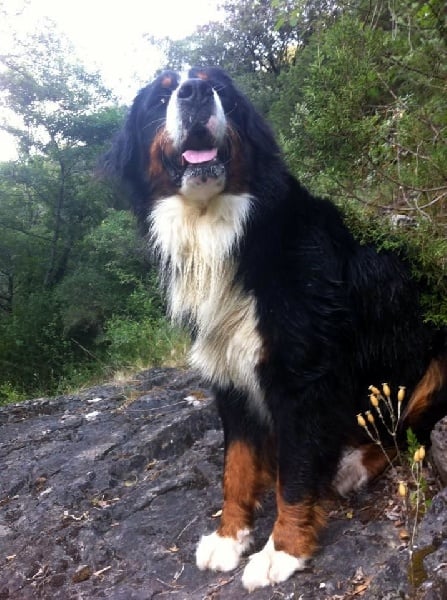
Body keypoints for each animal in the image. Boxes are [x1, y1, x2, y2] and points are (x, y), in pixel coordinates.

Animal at [105, 67, 447, 592]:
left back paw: (351, 467)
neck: (222, 232)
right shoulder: (229, 375)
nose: (194, 93)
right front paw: (230, 537)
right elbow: (236, 466)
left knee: (411, 431)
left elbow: (296, 474)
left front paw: (281, 550)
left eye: (219, 89)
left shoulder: (301, 377)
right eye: (162, 96)